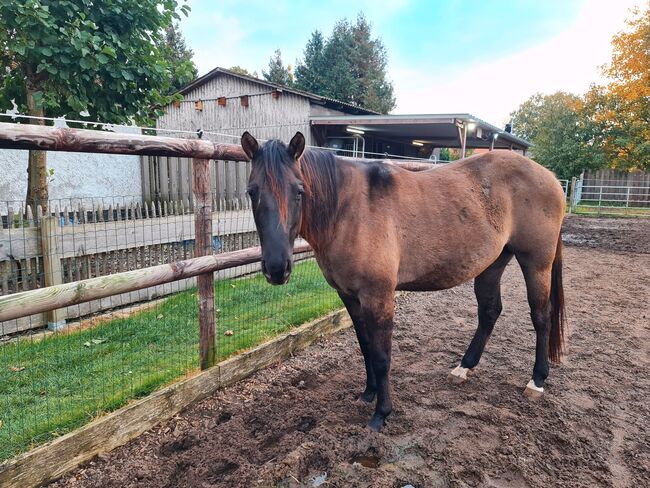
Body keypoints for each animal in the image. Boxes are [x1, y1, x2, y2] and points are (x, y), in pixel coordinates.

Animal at [240, 130, 564, 430]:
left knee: (541, 315)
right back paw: (464, 367)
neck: (348, 211)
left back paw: (537, 380)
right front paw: (368, 393)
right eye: (251, 192)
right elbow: (365, 347)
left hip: (536, 262)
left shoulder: (379, 297)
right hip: (492, 263)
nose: (276, 268)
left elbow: (382, 356)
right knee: (489, 312)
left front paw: (381, 414)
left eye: (299, 191)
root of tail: (550, 178)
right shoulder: (350, 297)